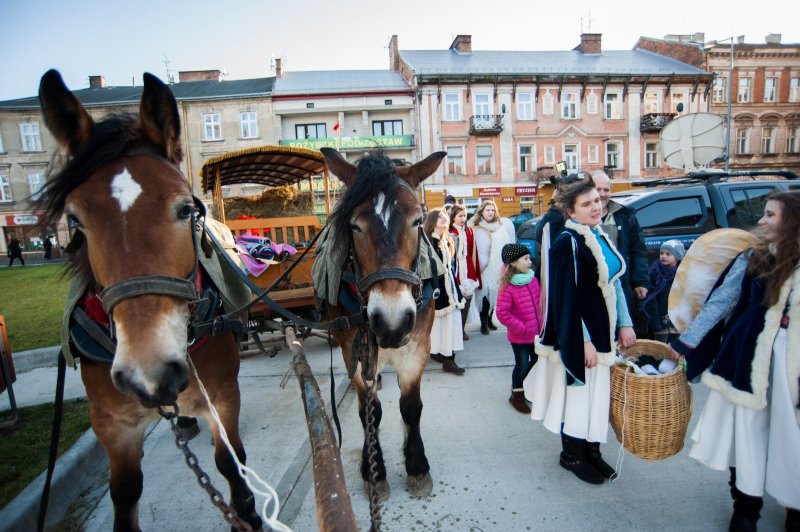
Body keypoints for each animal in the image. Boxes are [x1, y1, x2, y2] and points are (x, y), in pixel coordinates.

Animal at [39, 68, 260, 528]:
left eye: (185, 210)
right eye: (75, 221)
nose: (150, 373)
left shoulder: (223, 396)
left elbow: (231, 465)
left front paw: (248, 511)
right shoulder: (112, 424)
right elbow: (124, 492)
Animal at [318, 149, 444, 498]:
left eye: (417, 221)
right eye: (355, 226)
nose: (391, 323)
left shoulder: (416, 350)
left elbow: (411, 407)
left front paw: (417, 465)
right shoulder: (354, 353)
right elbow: (369, 413)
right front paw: (373, 469)